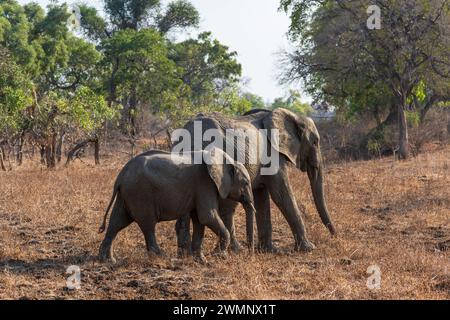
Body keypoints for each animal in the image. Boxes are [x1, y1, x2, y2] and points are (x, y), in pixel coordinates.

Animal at [99, 148, 256, 262]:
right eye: (246, 183)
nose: (250, 254)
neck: (226, 160)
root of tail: (121, 174)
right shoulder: (205, 184)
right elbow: (207, 216)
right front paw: (217, 256)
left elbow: (199, 220)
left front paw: (201, 260)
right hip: (140, 193)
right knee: (148, 225)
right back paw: (162, 258)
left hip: (127, 193)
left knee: (117, 221)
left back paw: (108, 260)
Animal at [172, 109, 338, 254]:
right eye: (315, 142)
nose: (334, 235)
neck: (294, 116)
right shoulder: (273, 156)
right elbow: (281, 194)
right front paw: (309, 248)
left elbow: (262, 196)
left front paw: (269, 250)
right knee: (227, 206)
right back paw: (235, 250)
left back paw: (184, 252)